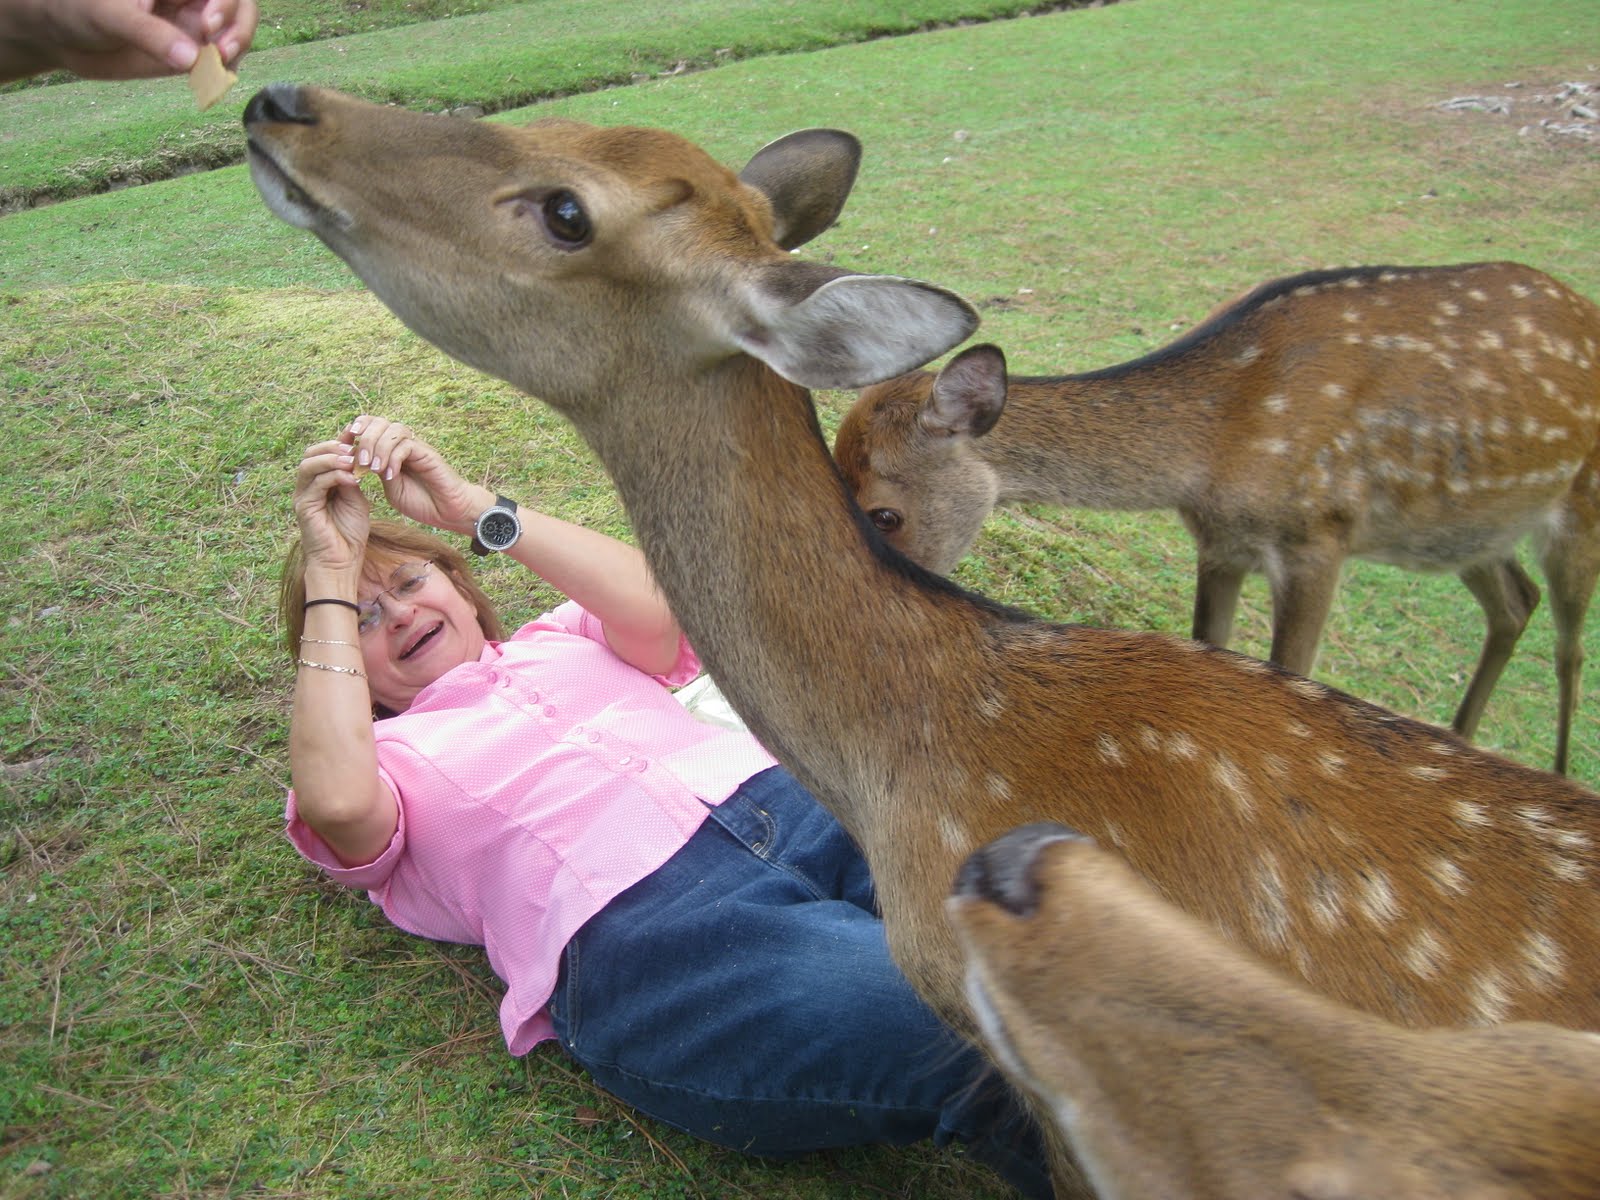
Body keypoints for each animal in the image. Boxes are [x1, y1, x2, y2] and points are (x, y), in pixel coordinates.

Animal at [832, 263, 1600, 775]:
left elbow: (1290, 672)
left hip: (1580, 500)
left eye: (885, 512)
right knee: (1514, 600)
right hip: (1467, 531)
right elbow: (1214, 644)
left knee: (1569, 645)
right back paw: (1463, 737)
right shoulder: (1220, 543)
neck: (1216, 449)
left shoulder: (1320, 536)